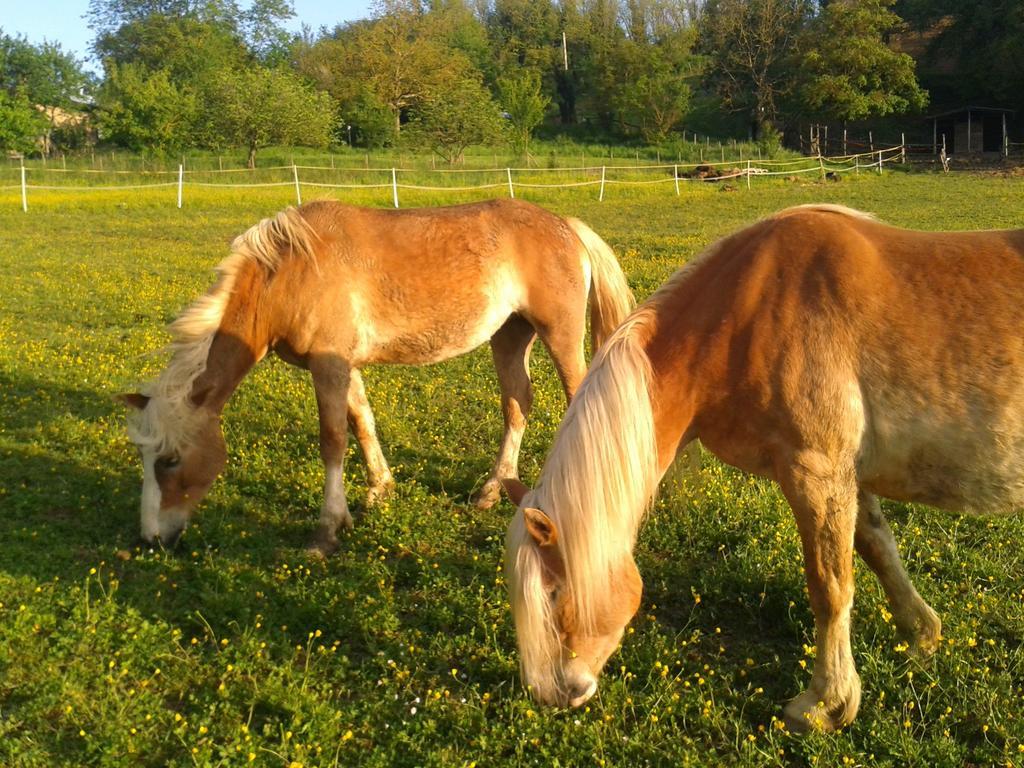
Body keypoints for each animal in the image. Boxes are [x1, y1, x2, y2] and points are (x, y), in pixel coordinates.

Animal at [119, 199, 630, 552]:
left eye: (170, 460)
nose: (150, 539)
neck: (289, 273)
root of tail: (565, 225)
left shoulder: (328, 367)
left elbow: (332, 440)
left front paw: (327, 530)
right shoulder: (343, 366)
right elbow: (362, 423)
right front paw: (379, 491)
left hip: (558, 334)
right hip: (509, 336)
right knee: (517, 402)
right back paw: (490, 490)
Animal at [501, 204, 1024, 733]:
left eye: (553, 592)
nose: (551, 693)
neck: (745, 314)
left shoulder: (815, 471)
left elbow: (831, 587)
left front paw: (824, 704)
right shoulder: (846, 474)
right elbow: (878, 548)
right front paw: (920, 634)